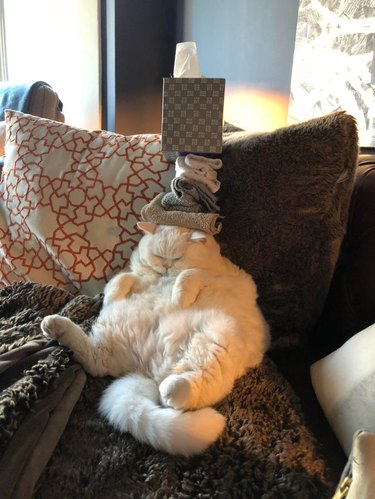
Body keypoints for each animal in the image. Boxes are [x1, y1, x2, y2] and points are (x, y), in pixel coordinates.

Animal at [41, 223, 270, 458]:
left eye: (177, 257)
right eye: (158, 255)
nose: (166, 266)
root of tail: (150, 372)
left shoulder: (213, 277)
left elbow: (190, 274)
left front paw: (179, 298)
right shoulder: (129, 278)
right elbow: (120, 281)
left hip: (218, 340)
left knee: (195, 385)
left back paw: (171, 389)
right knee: (95, 360)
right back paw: (53, 325)